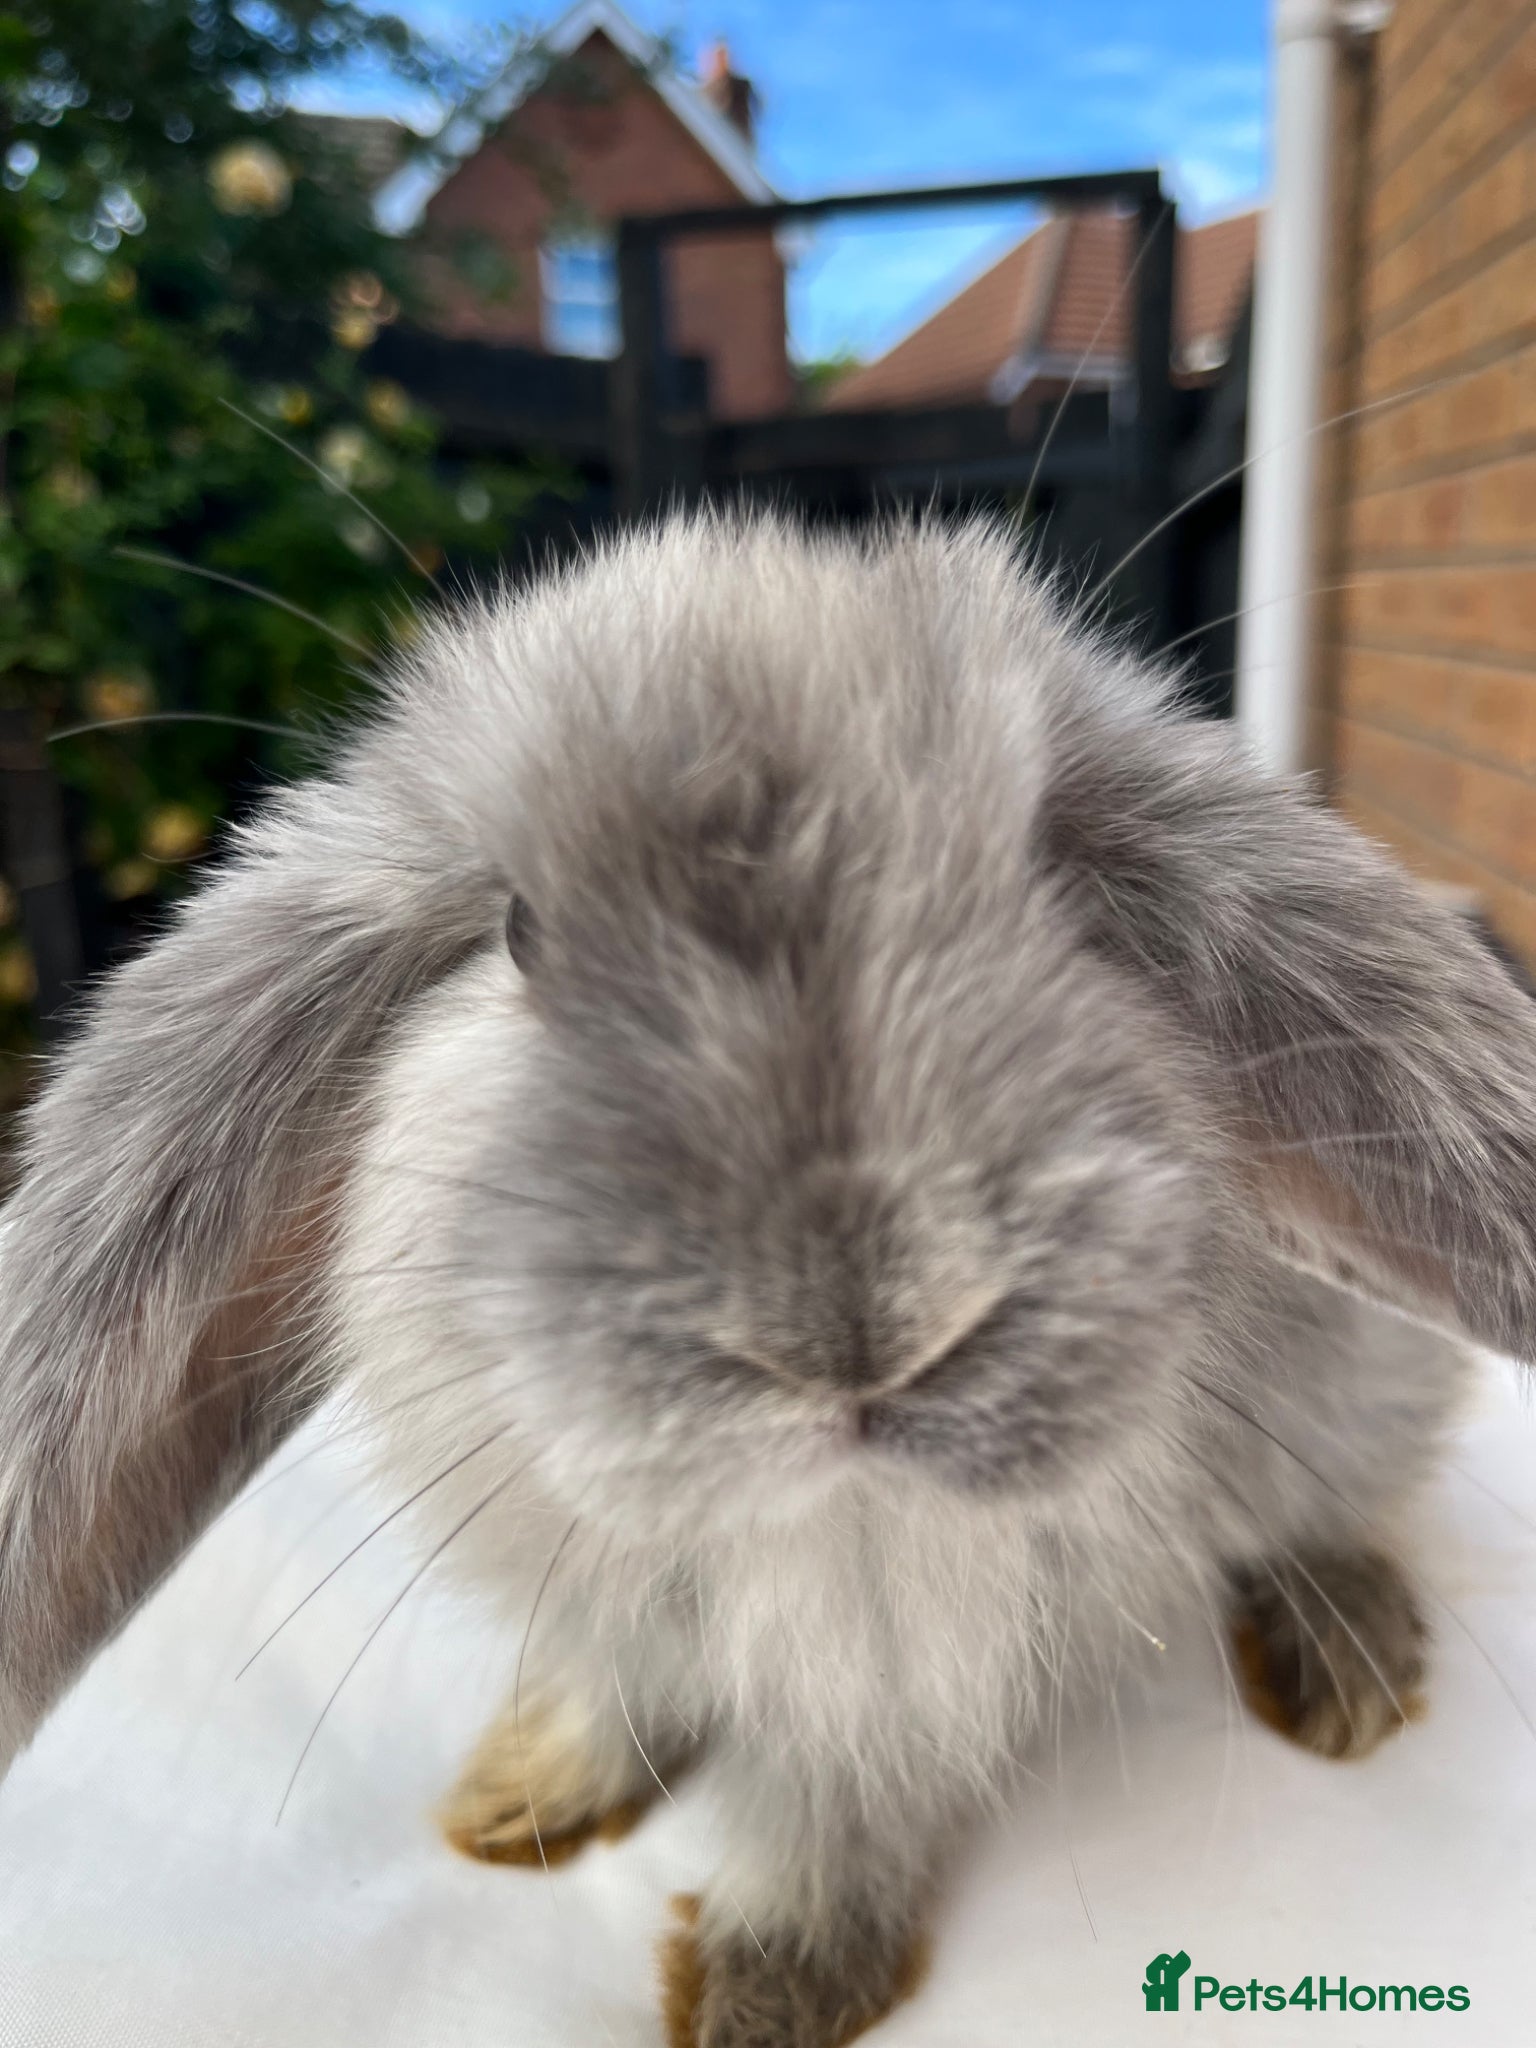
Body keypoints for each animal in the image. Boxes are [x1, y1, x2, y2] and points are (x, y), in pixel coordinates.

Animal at [3, 512, 1536, 2047]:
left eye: (1054, 898)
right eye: (519, 931)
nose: (858, 1327)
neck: (802, 1516)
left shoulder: (899, 1686)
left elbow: (835, 1817)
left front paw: (765, 1986)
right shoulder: (613, 1600)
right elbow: (614, 1691)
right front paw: (527, 1794)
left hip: (1356, 1390)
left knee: (1337, 1505)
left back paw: (1348, 1664)